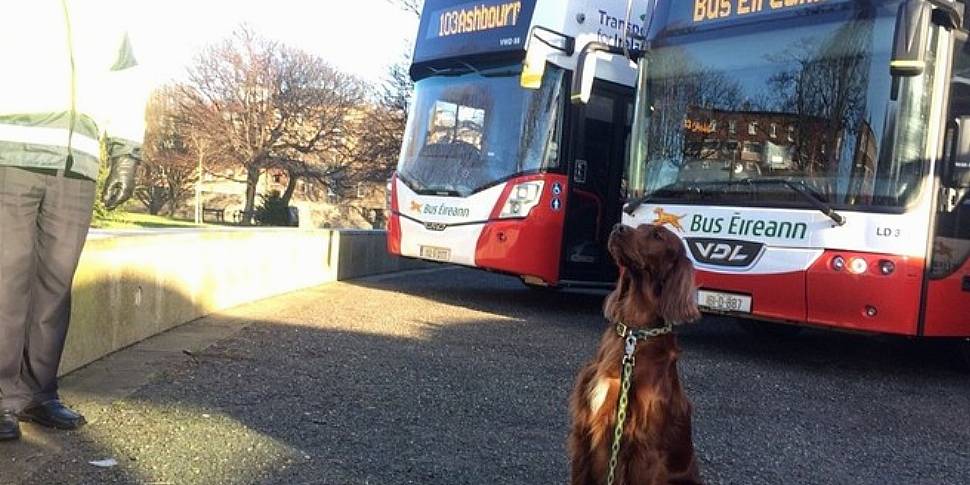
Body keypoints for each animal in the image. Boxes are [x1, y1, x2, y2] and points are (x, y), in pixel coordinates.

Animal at [564, 223, 700, 484]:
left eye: (657, 235)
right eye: (639, 226)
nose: (618, 227)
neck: (633, 333)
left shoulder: (643, 448)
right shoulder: (582, 430)